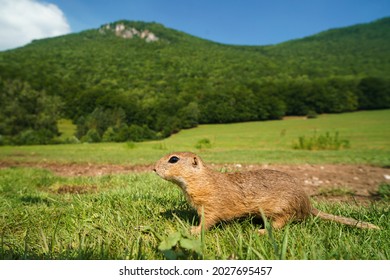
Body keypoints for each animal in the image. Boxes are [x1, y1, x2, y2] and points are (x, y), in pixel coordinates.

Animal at [154, 152, 380, 233]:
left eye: (173, 159)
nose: (154, 168)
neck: (203, 180)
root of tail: (308, 205)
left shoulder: (212, 206)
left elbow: (207, 222)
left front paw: (193, 230)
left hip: (281, 209)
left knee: (280, 225)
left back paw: (262, 231)